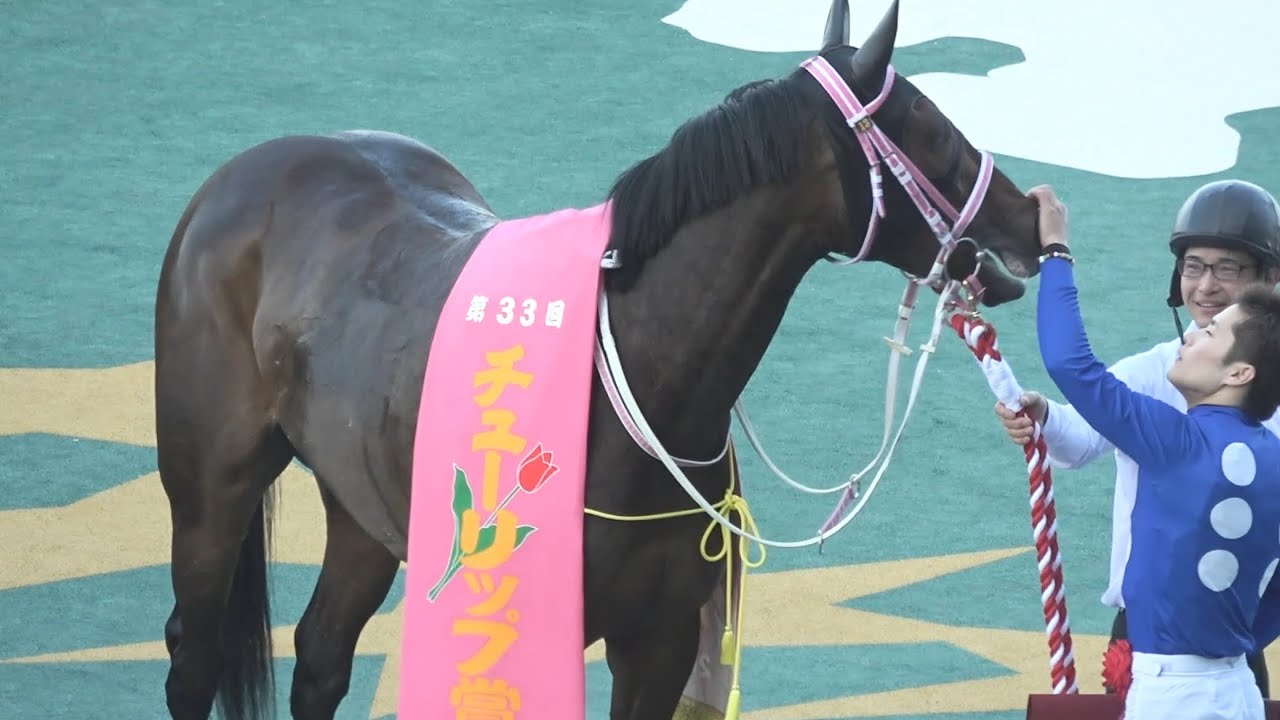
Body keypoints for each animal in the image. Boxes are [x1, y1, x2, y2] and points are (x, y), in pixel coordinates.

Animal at [152, 1, 1043, 718]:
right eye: (932, 125)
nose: (1030, 220)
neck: (636, 391)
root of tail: (252, 167)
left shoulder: (660, 641)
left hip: (362, 502)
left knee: (321, 656)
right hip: (209, 492)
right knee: (194, 655)